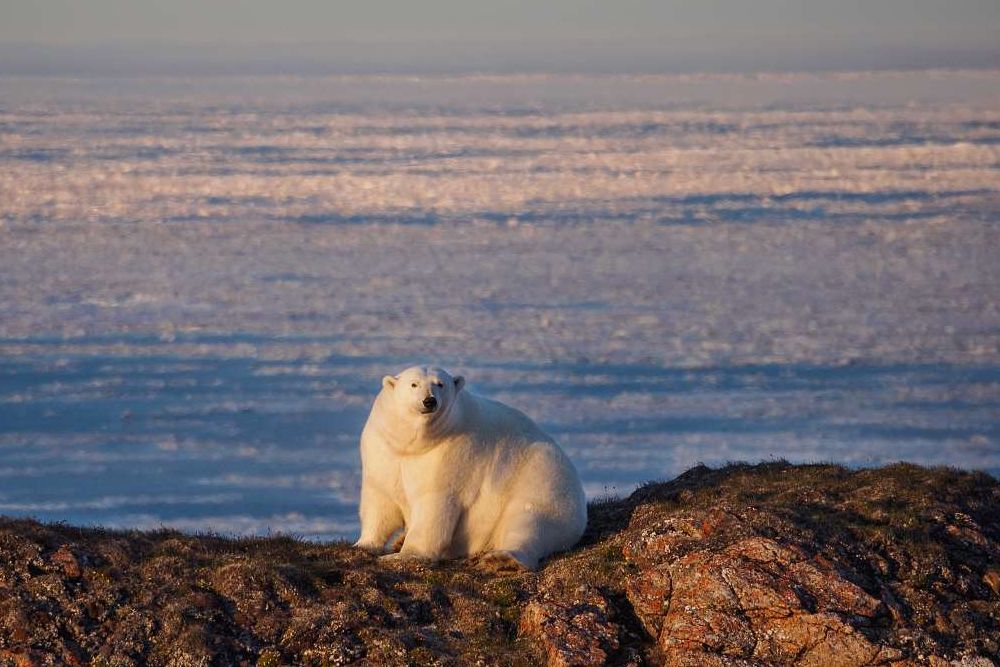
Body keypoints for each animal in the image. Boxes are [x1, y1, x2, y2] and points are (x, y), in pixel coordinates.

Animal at [356, 366, 584, 568]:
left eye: (440, 384)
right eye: (414, 384)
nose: (429, 400)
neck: (416, 443)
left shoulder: (451, 455)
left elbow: (434, 504)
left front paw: (405, 555)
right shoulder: (384, 449)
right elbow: (381, 500)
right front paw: (365, 544)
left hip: (540, 481)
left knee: (528, 521)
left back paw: (503, 559)